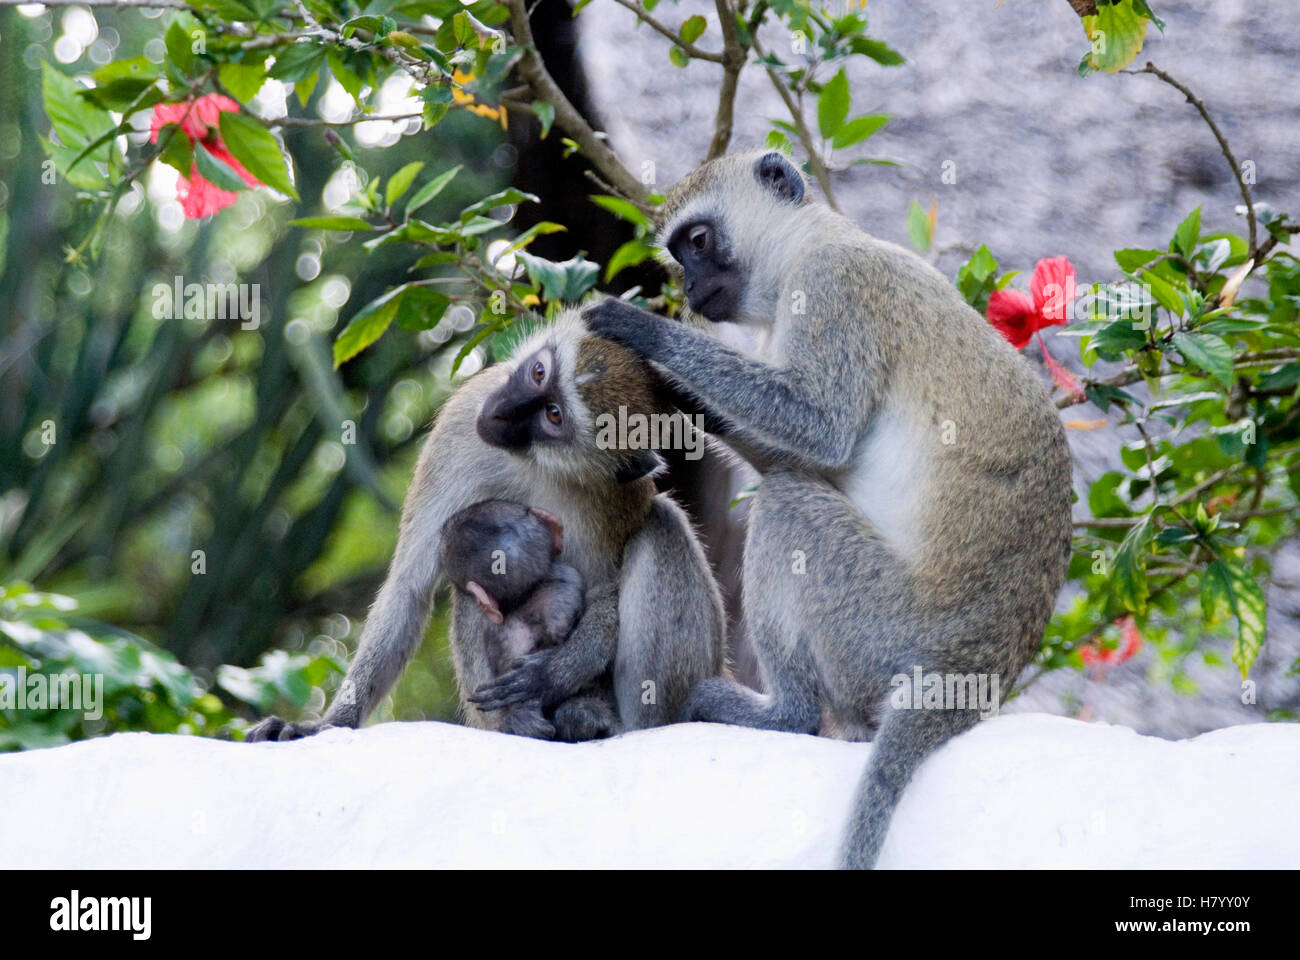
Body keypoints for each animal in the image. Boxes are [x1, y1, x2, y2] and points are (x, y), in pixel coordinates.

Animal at [585, 149, 1071, 868]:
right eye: (679, 256)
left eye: (697, 242)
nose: (692, 286)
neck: (806, 243)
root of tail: (970, 671)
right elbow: (808, 451)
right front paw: (676, 399)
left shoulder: (834, 286)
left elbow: (820, 427)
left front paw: (645, 331)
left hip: (876, 630)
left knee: (787, 504)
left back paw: (784, 714)